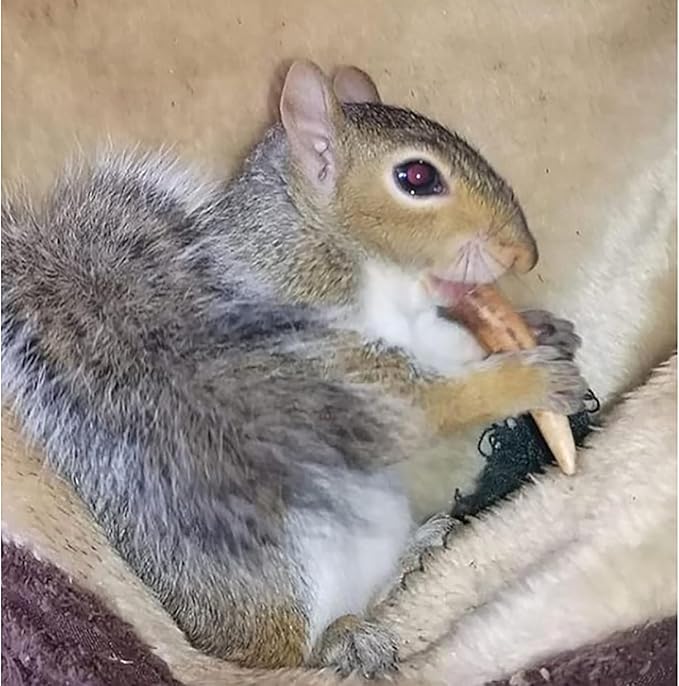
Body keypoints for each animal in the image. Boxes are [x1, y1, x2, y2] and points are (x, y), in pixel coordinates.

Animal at [1, 60, 586, 677]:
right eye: (417, 177)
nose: (523, 255)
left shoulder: (420, 331)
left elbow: (451, 345)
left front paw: (541, 330)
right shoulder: (323, 369)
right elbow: (419, 411)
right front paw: (528, 379)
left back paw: (414, 555)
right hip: (284, 575)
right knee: (292, 654)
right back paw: (345, 640)